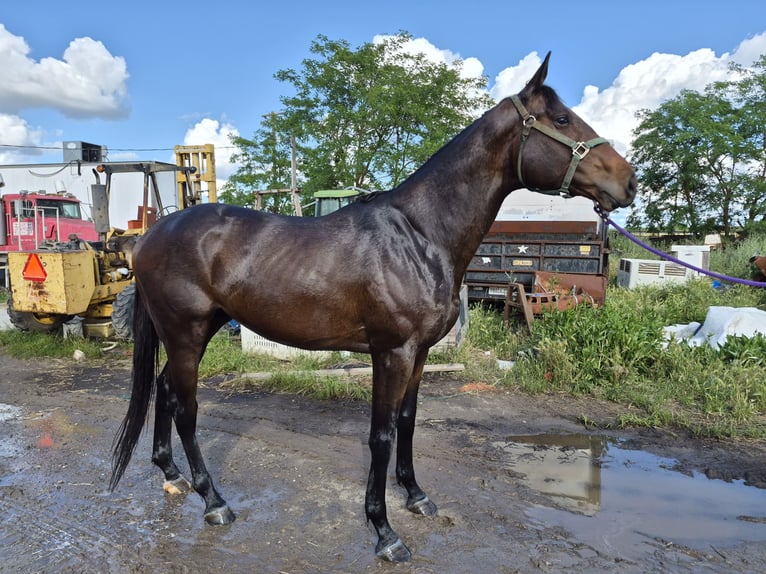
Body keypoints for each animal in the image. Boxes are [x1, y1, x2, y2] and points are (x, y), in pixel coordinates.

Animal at [109, 52, 636, 563]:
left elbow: (406, 422)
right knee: (185, 408)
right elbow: (380, 436)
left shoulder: (419, 354)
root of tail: (149, 237)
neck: (420, 236)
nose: (628, 182)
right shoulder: (392, 353)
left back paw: (172, 474)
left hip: (194, 333)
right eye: (563, 119)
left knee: (164, 391)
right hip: (186, 334)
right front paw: (384, 532)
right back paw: (214, 501)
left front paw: (417, 496)